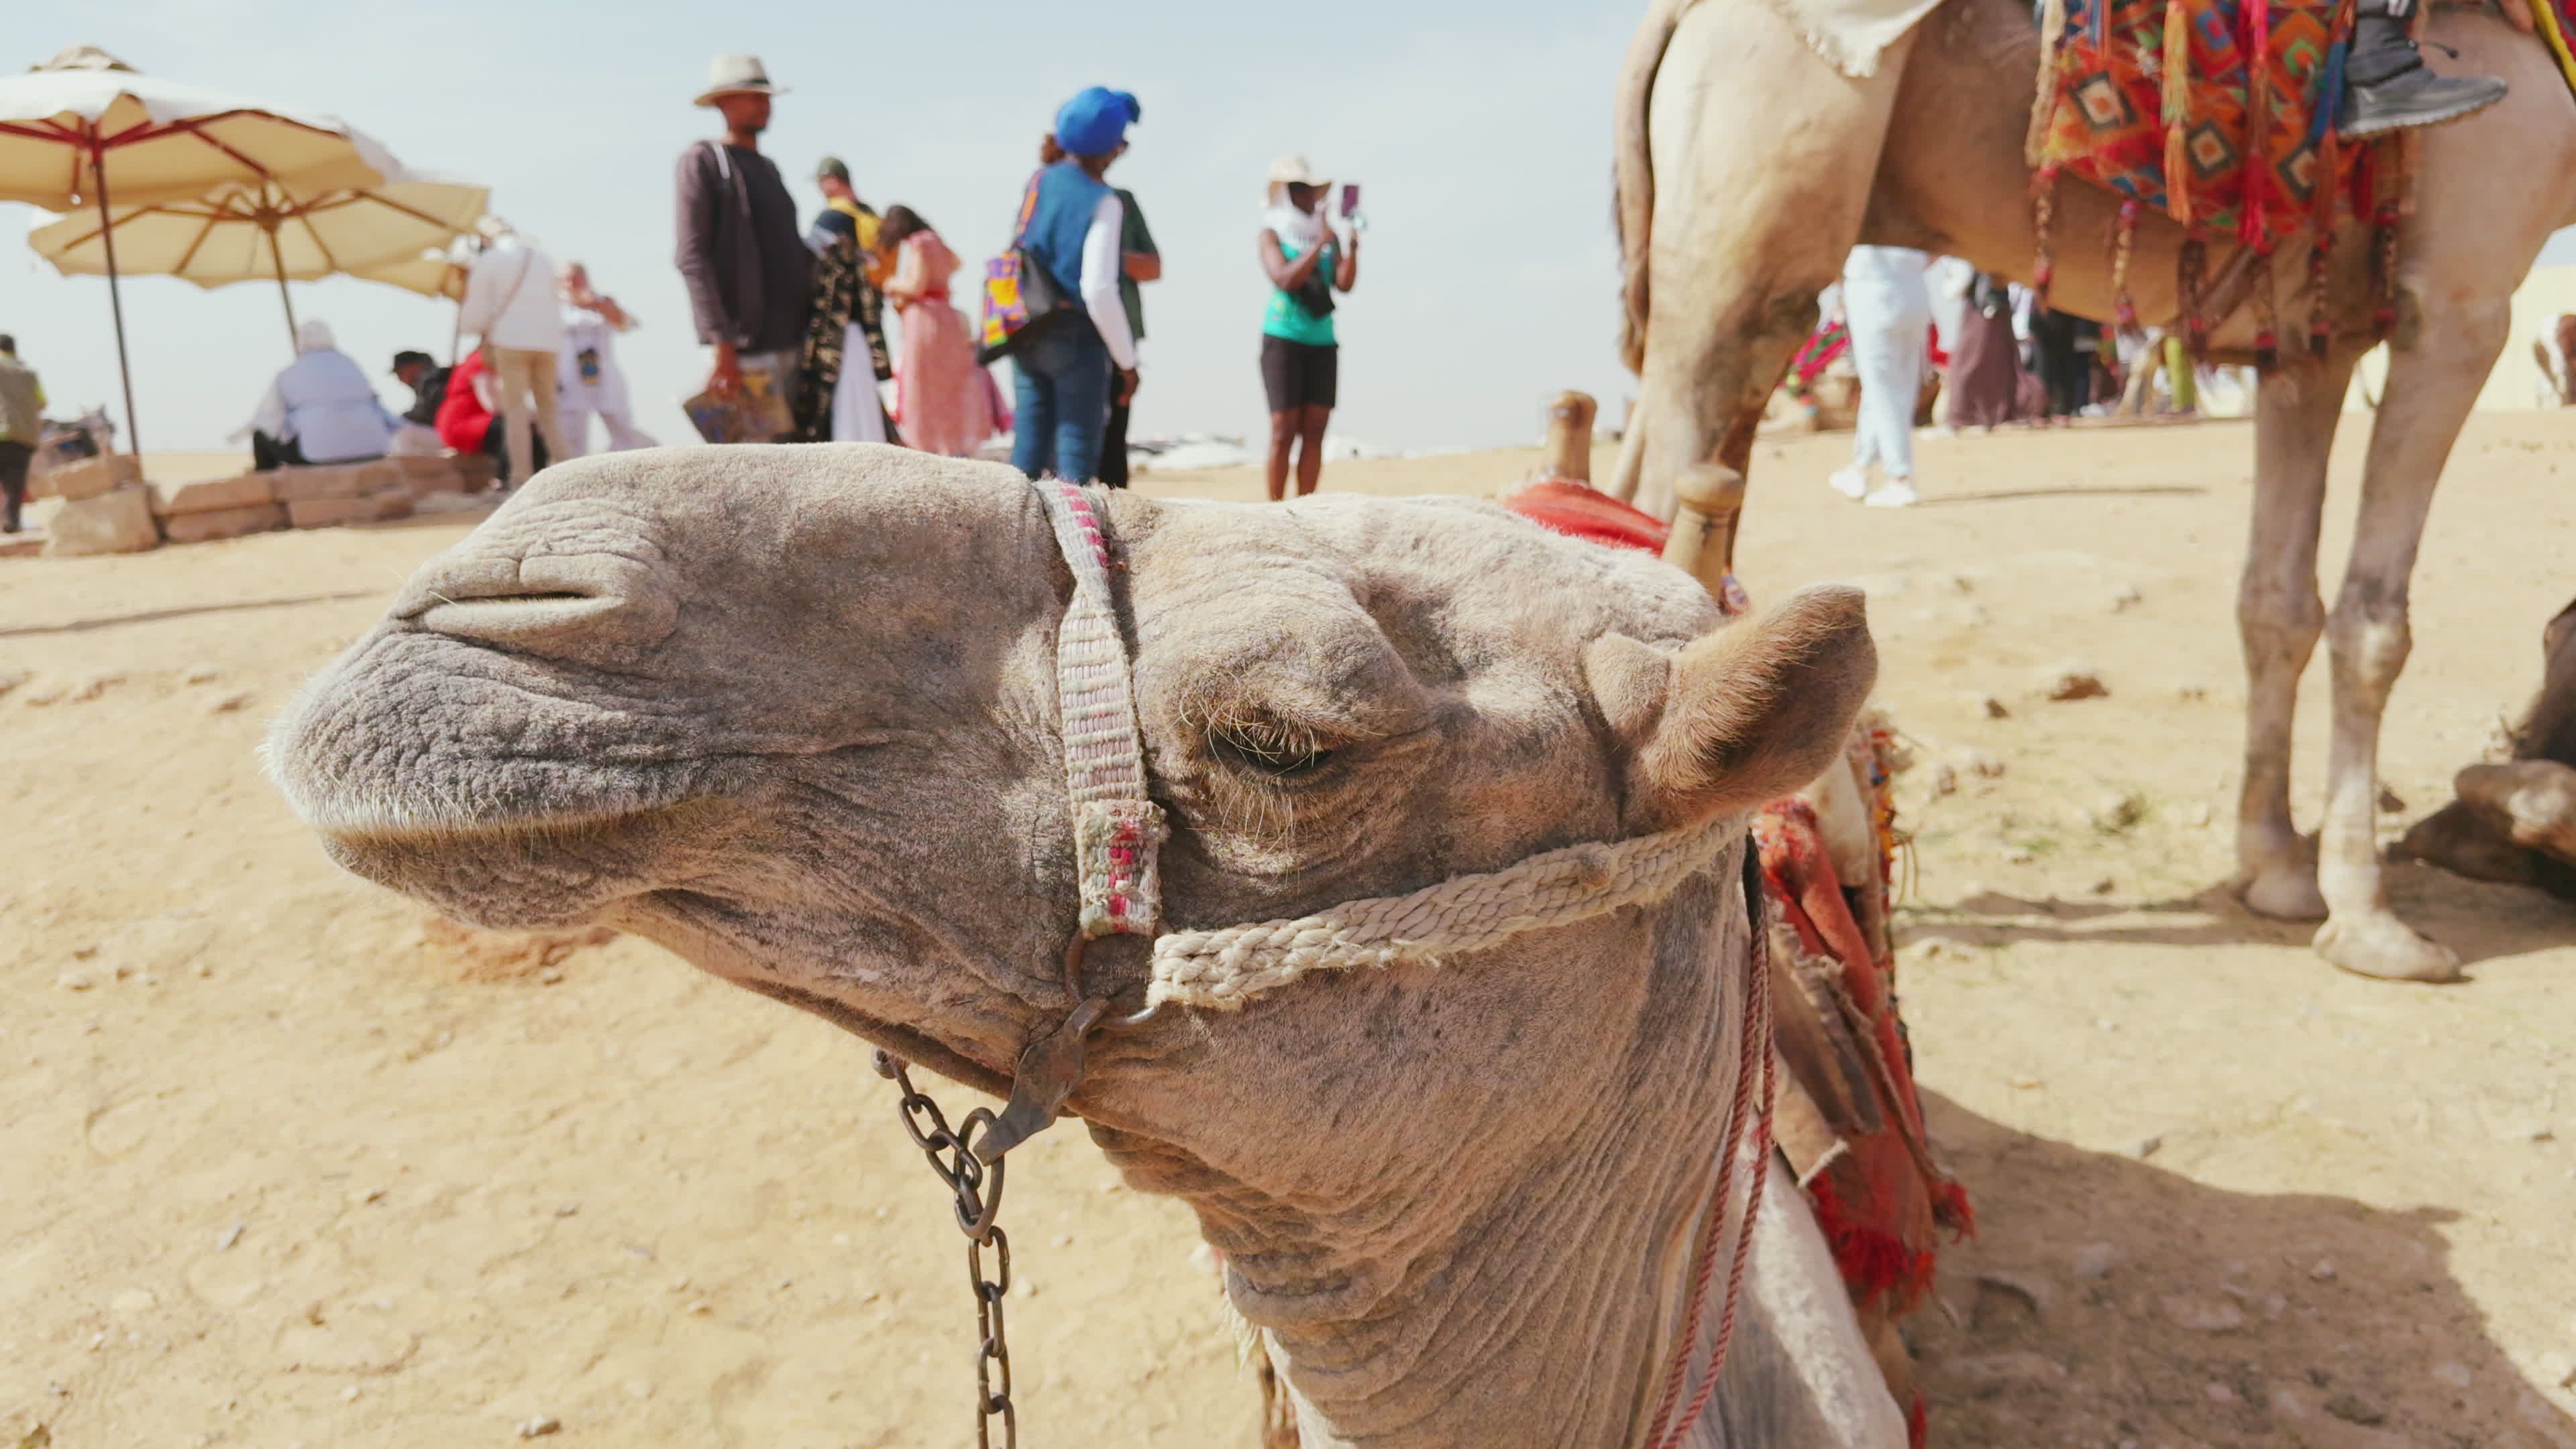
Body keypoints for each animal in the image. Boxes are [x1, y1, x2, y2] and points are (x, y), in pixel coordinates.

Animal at [1605, 0, 2576, 979]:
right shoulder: (2457, 299)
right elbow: (2374, 627)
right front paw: (2371, 921)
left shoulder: (2308, 342)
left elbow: (2277, 607)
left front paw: (2277, 871)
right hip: (1763, 188)